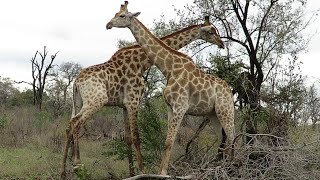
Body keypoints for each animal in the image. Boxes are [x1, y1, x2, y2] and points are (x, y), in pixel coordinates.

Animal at [60, 8, 225, 179]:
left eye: (120, 15)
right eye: (212, 31)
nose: (222, 43)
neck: (142, 61)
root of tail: (76, 81)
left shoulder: (124, 105)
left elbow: (128, 138)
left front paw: (131, 172)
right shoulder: (134, 100)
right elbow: (137, 137)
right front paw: (142, 171)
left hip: (77, 101)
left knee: (69, 125)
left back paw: (63, 171)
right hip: (96, 100)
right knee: (76, 123)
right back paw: (77, 164)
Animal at [107, 1, 235, 175]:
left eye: (122, 15)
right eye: (211, 31)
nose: (108, 25)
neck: (169, 68)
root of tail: (229, 91)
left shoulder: (181, 107)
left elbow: (169, 141)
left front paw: (163, 173)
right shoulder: (170, 107)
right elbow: (167, 142)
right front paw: (161, 171)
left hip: (225, 111)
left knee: (232, 137)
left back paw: (234, 166)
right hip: (214, 114)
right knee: (225, 141)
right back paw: (226, 166)